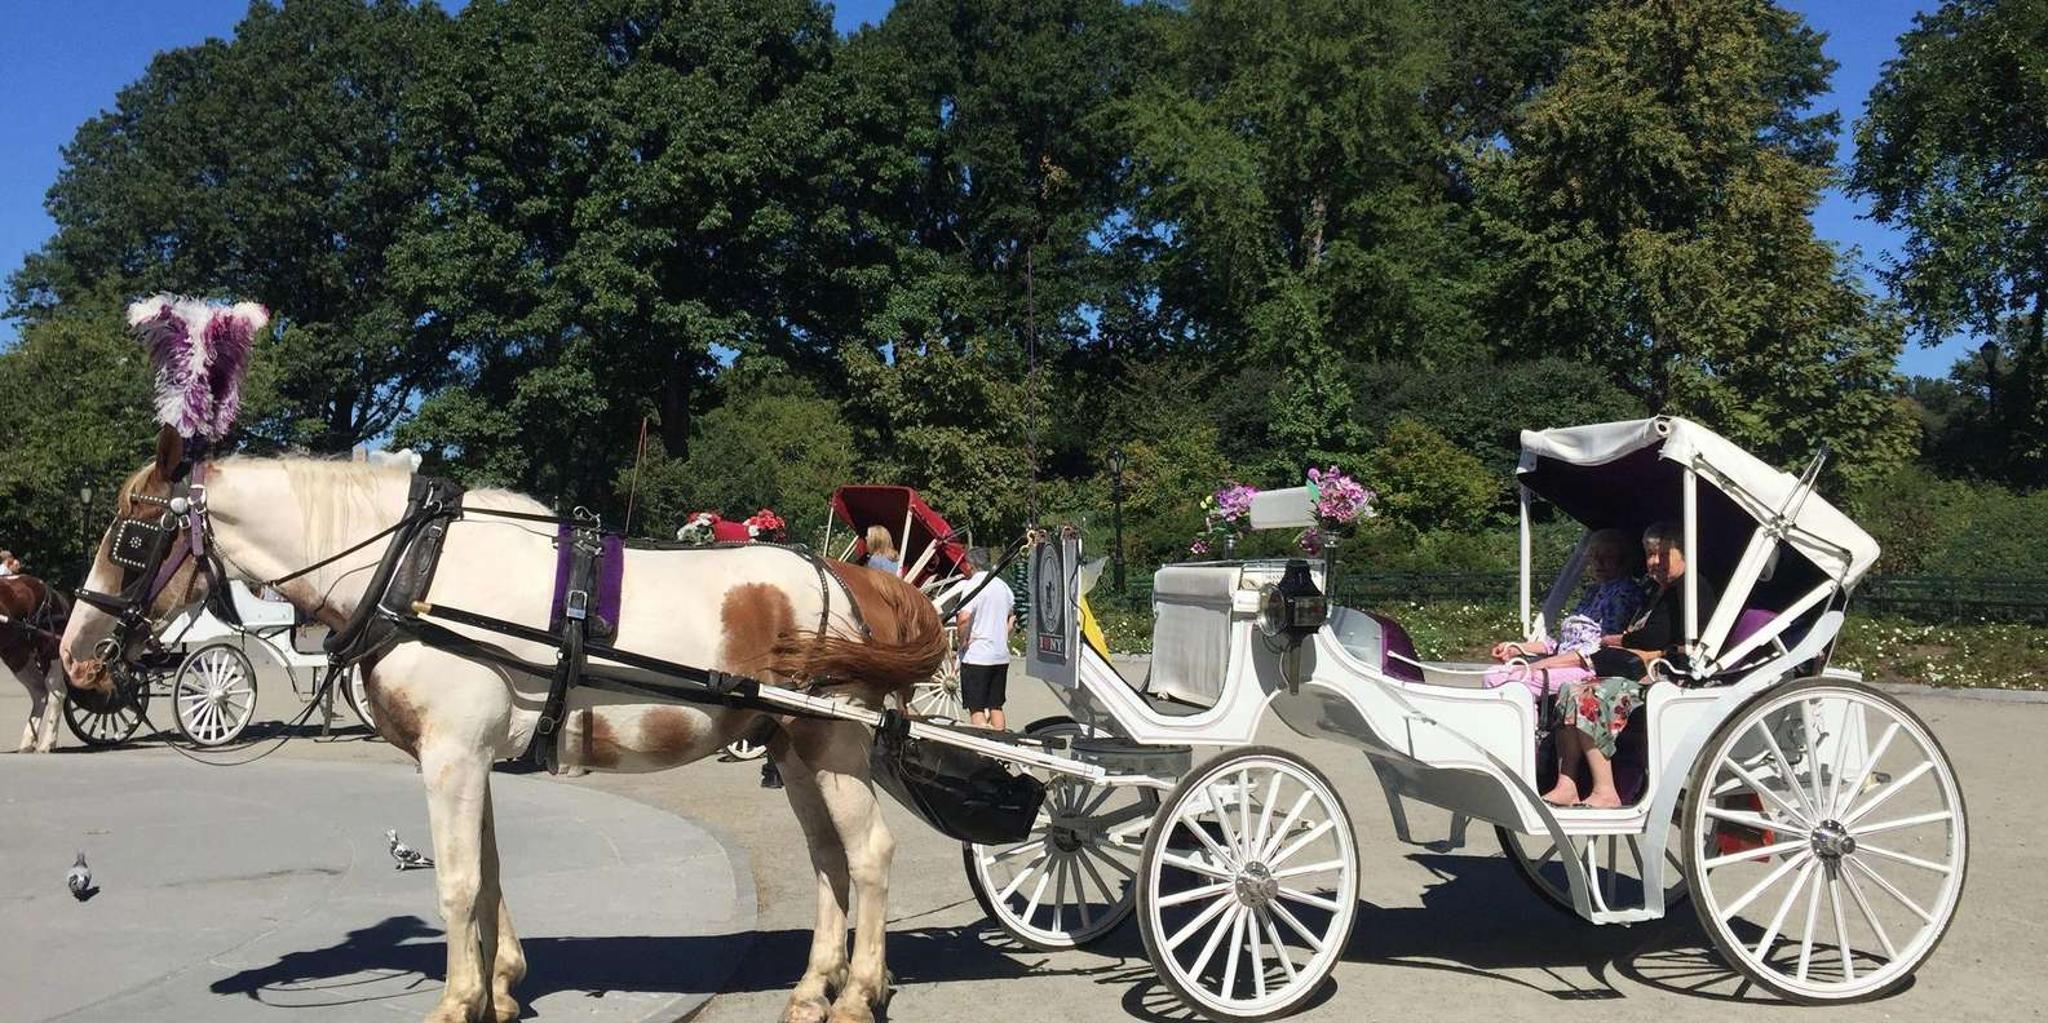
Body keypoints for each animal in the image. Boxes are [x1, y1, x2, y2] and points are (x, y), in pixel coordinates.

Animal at [3, 574, 69, 753]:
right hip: (17, 656)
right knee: (39, 691)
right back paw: (28, 740)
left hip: (50, 651)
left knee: (57, 693)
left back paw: (48, 742)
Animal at [60, 437, 946, 1023]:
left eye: (129, 534)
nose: (74, 655)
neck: (411, 572)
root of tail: (852, 577)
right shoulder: (471, 758)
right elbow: (486, 873)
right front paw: (500, 985)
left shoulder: (451, 758)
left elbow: (456, 881)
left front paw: (459, 1000)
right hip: (795, 749)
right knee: (828, 857)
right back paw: (814, 985)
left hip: (833, 746)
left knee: (869, 854)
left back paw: (859, 991)